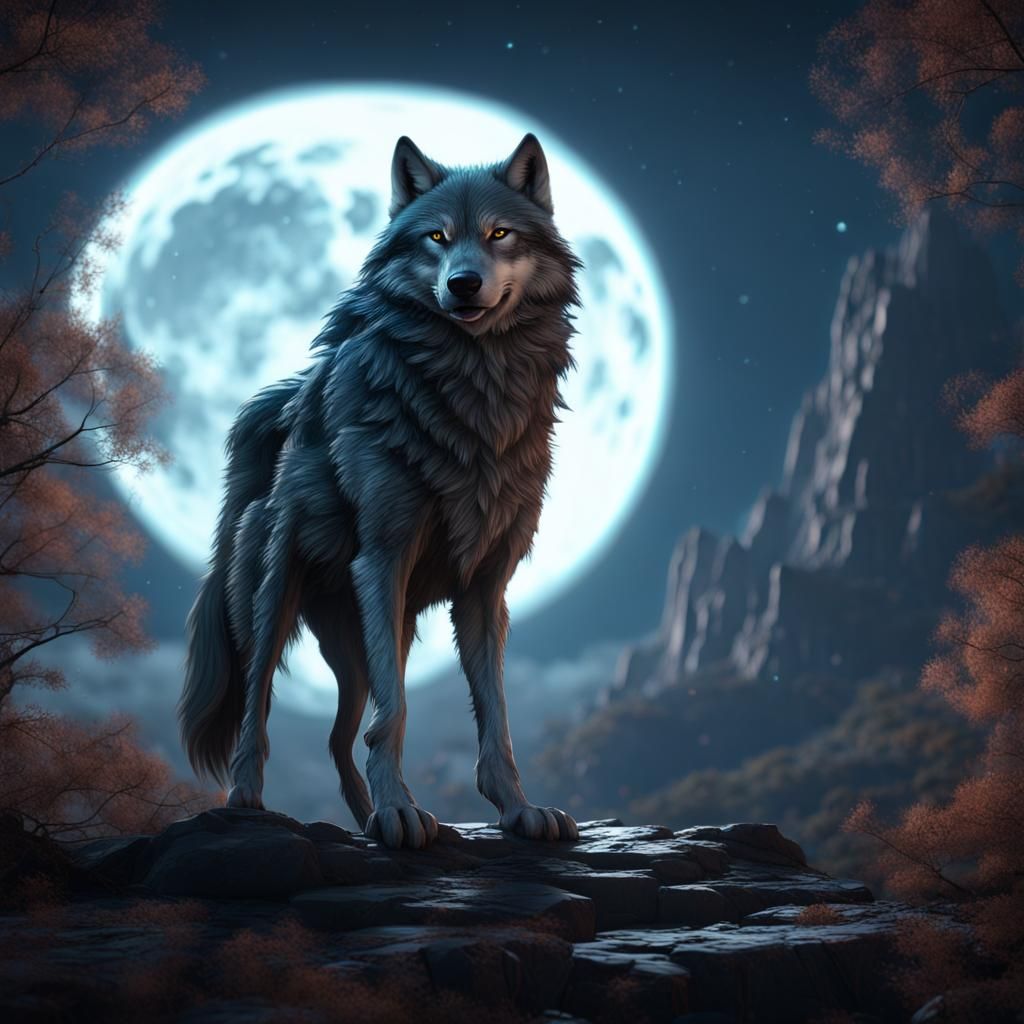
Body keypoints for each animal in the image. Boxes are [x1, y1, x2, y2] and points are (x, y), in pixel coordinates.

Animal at [179, 133, 582, 849]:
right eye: (436, 237)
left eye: (499, 233)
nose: (463, 283)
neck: (474, 388)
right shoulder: (383, 561)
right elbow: (396, 713)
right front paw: (401, 810)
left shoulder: (486, 590)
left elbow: (496, 718)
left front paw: (517, 809)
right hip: (275, 605)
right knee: (259, 709)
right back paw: (251, 801)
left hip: (365, 646)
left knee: (340, 739)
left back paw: (367, 815)